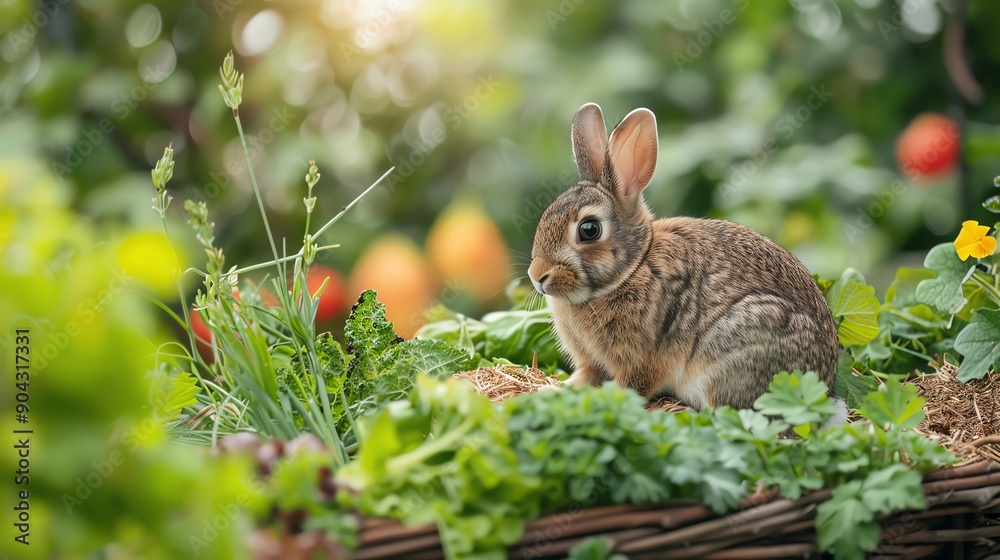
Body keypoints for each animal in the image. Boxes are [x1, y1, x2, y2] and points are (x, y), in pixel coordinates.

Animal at [527, 103, 841, 413]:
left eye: (589, 229)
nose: (537, 276)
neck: (633, 268)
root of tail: (825, 380)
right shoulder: (592, 362)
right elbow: (585, 378)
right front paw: (552, 390)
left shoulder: (642, 360)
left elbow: (630, 387)